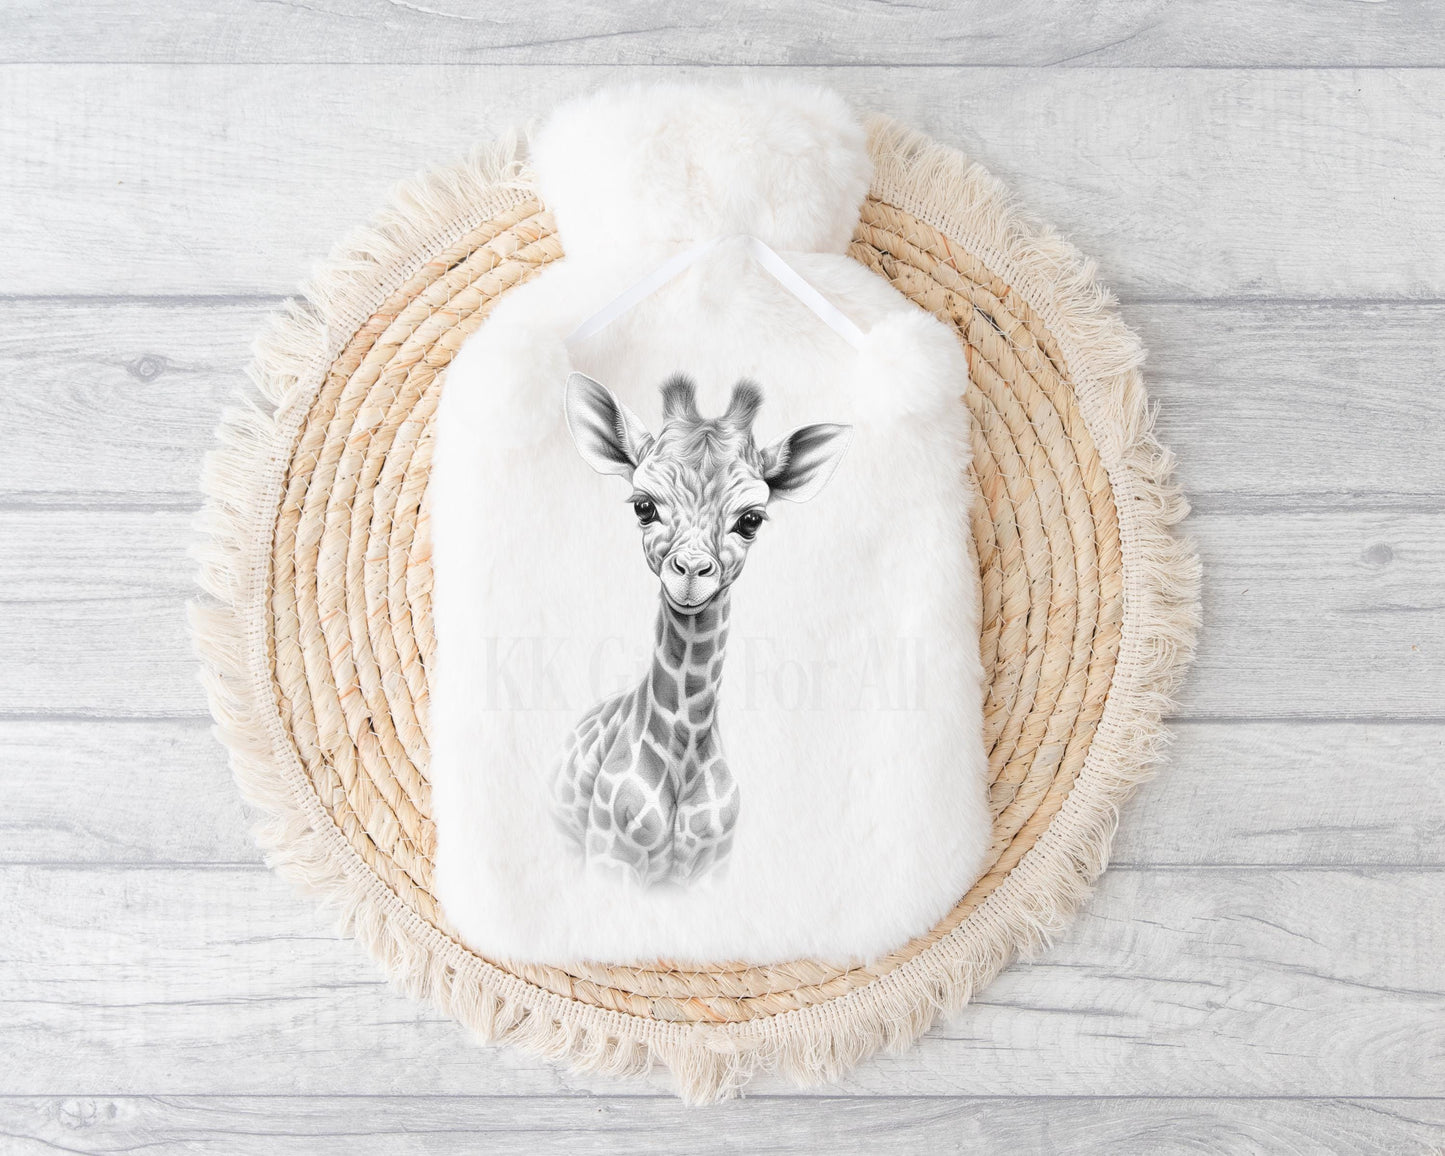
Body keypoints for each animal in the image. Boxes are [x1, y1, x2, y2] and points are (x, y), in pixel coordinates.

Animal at [552, 371, 853, 886]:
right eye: (643, 506)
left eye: (751, 520)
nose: (691, 573)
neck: (685, 757)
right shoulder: (611, 853)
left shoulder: (712, 863)